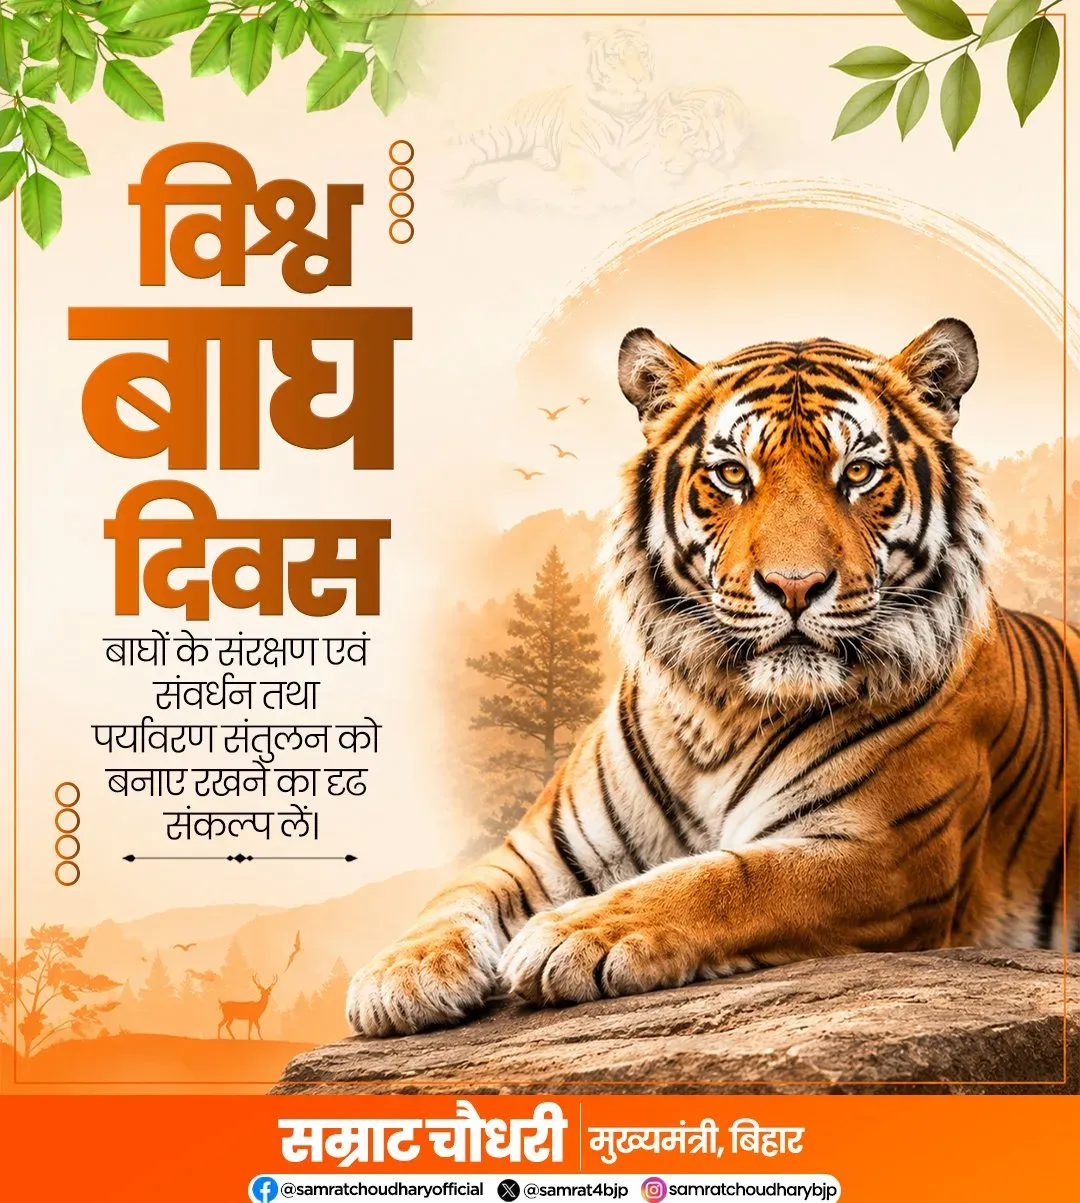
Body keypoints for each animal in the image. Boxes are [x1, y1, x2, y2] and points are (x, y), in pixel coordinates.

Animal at [347, 319, 1079, 1038]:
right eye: (732, 474)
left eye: (859, 472)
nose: (795, 585)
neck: (723, 712)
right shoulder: (541, 851)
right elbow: (456, 894)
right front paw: (402, 974)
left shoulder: (887, 854)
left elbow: (729, 879)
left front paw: (576, 934)